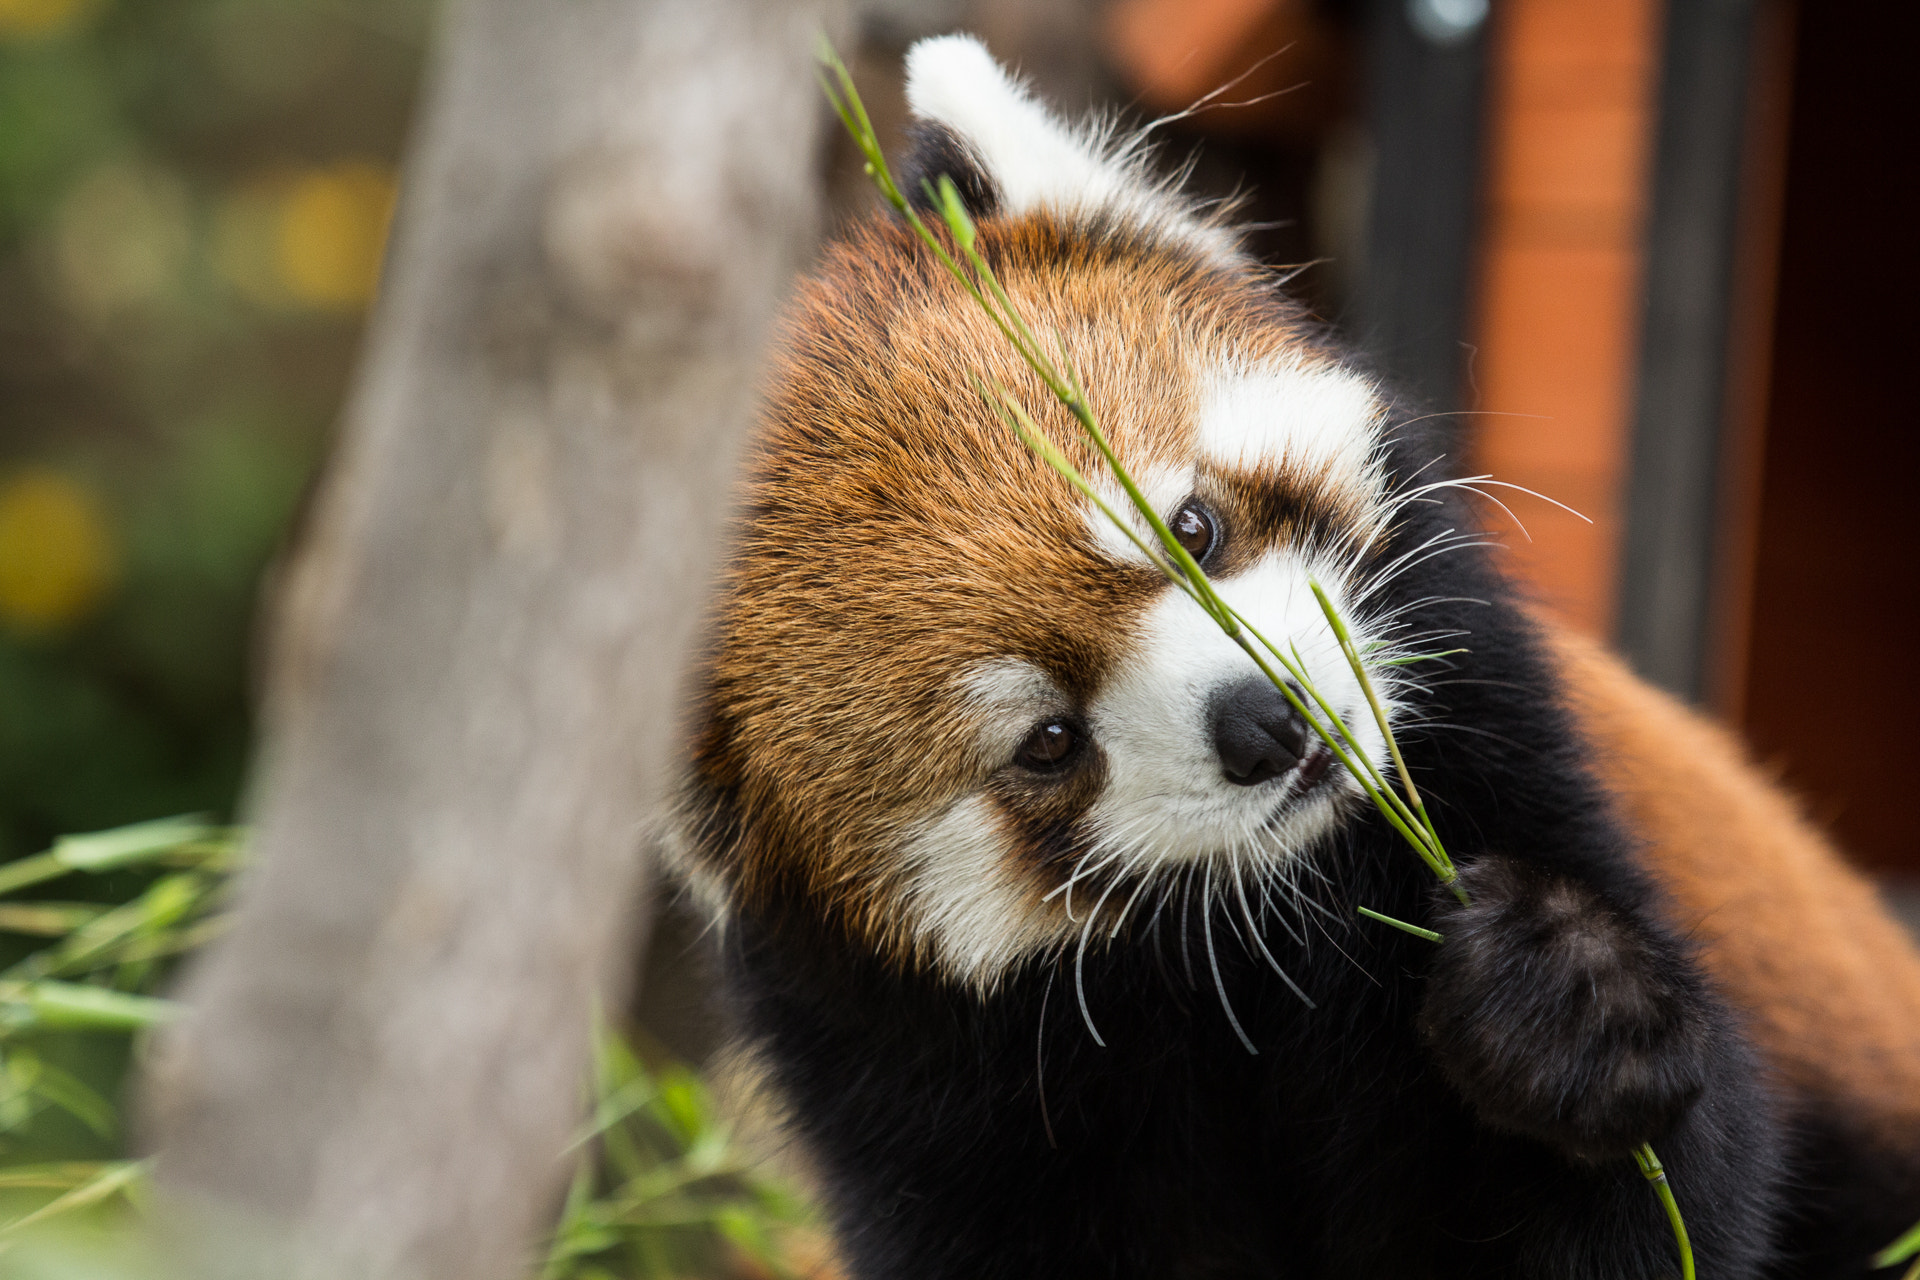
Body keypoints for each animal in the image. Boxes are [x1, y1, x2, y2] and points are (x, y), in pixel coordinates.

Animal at [669, 34, 1920, 1279]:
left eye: (1192, 527)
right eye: (1048, 741)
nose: (1263, 721)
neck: (1254, 944)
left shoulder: (1512, 756)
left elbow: (1677, 1201)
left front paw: (1570, 997)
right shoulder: (917, 1074)